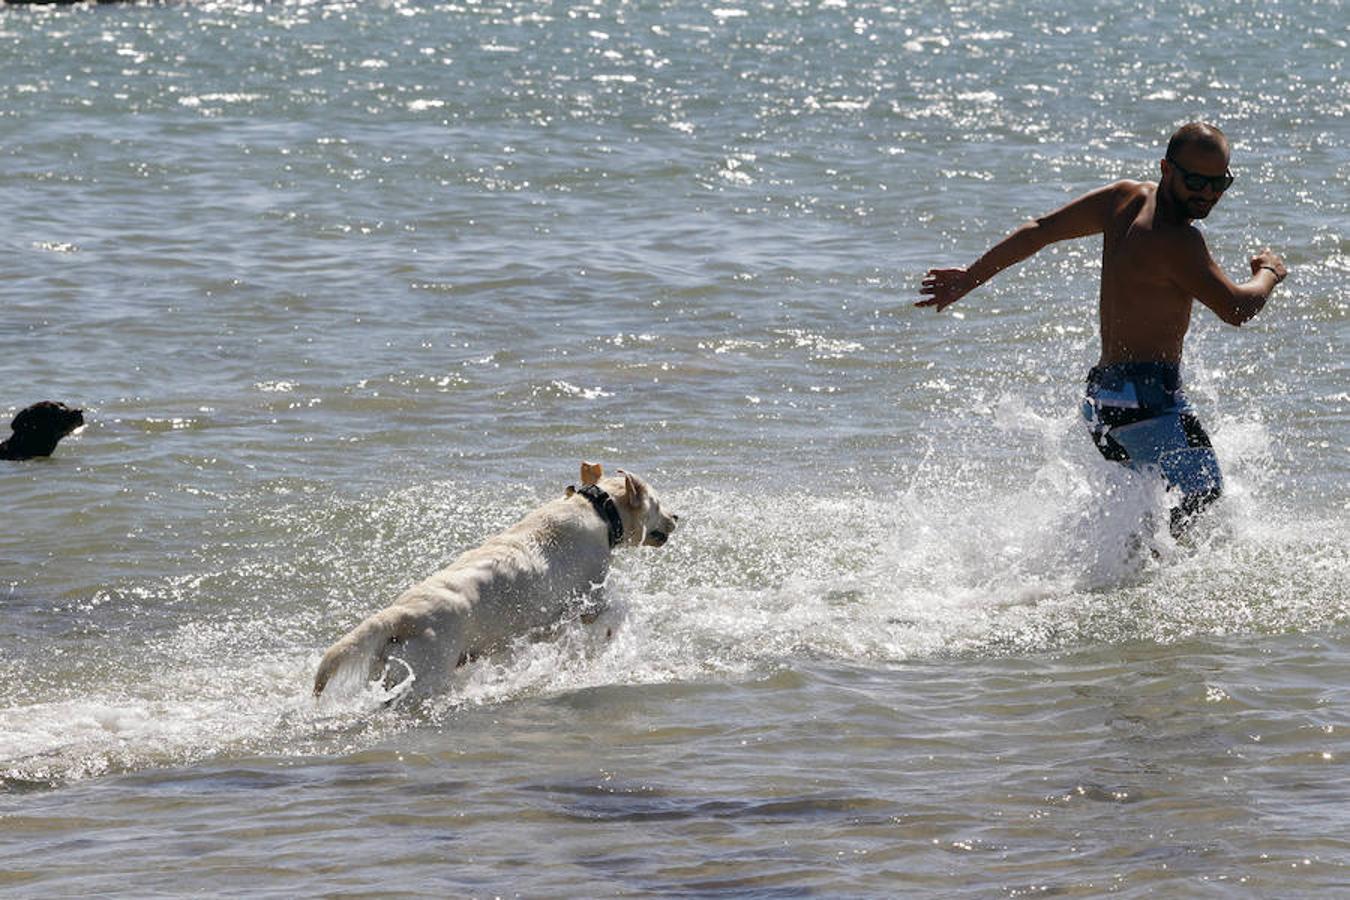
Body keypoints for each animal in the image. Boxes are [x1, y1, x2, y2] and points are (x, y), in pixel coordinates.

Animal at [311, 464, 680, 701]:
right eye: (658, 503)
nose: (677, 517)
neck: (599, 511)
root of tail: (400, 614)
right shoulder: (585, 601)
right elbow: (613, 609)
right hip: (425, 676)